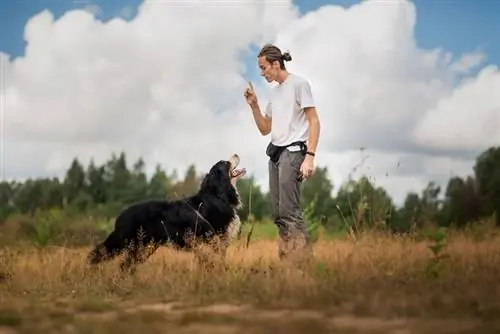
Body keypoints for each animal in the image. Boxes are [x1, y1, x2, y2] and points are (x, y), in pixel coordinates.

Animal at [88, 154, 248, 274]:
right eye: (226, 163)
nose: (236, 154)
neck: (217, 196)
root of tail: (120, 216)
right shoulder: (214, 240)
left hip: (145, 248)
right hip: (135, 245)